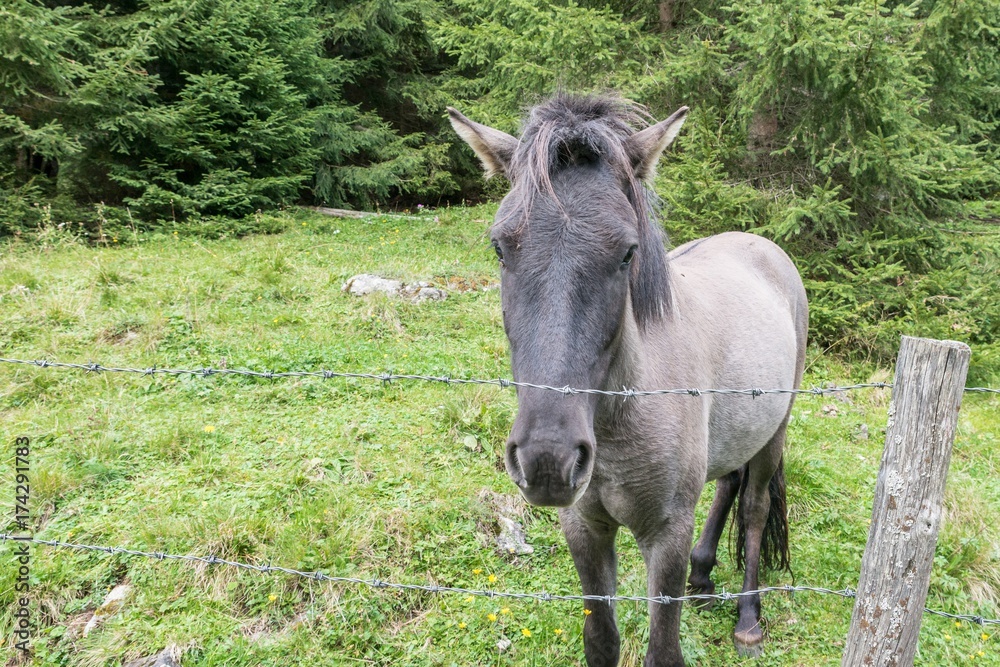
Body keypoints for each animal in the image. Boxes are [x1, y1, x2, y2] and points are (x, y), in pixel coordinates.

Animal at [448, 93, 807, 666]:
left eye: (626, 253)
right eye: (500, 248)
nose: (547, 460)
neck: (618, 421)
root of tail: (763, 247)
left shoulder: (666, 536)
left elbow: (663, 650)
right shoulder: (584, 528)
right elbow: (602, 640)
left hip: (776, 430)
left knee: (754, 508)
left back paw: (748, 618)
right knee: (728, 482)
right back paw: (704, 576)